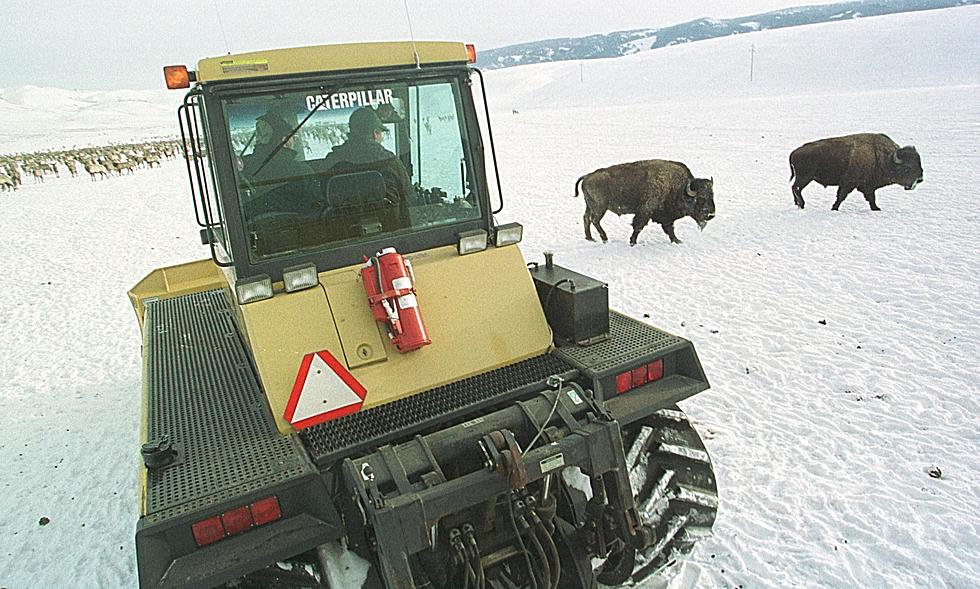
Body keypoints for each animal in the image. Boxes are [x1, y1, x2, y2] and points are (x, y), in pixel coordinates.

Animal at [576, 158, 712, 246]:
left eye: (712, 195)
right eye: (700, 198)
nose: (711, 214)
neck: (678, 187)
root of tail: (587, 176)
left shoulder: (666, 217)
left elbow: (670, 229)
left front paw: (677, 241)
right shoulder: (645, 211)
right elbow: (638, 226)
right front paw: (632, 242)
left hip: (590, 206)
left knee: (586, 218)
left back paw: (590, 238)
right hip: (600, 208)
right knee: (594, 220)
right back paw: (604, 239)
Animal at [788, 132, 928, 210]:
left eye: (919, 164)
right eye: (908, 168)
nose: (920, 179)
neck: (881, 157)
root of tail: (794, 152)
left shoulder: (866, 186)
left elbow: (871, 198)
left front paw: (876, 208)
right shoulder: (849, 184)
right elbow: (841, 196)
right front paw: (834, 208)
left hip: (804, 178)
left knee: (794, 188)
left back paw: (797, 204)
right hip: (805, 177)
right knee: (796, 188)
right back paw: (802, 204)